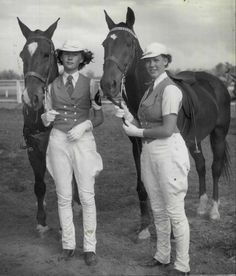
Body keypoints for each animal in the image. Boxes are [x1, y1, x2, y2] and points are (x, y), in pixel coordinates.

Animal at [17, 17, 80, 233]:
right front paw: (41, 221)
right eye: (22, 55)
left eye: (46, 54)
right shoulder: (33, 147)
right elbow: (39, 185)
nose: (31, 97)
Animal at [100, 7, 231, 229]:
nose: (108, 84)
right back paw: (201, 207)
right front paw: (145, 225)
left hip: (218, 134)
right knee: (201, 165)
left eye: (129, 43)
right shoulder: (137, 145)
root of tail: (217, 83)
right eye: (105, 44)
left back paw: (213, 210)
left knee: (215, 168)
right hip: (192, 140)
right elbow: (142, 184)